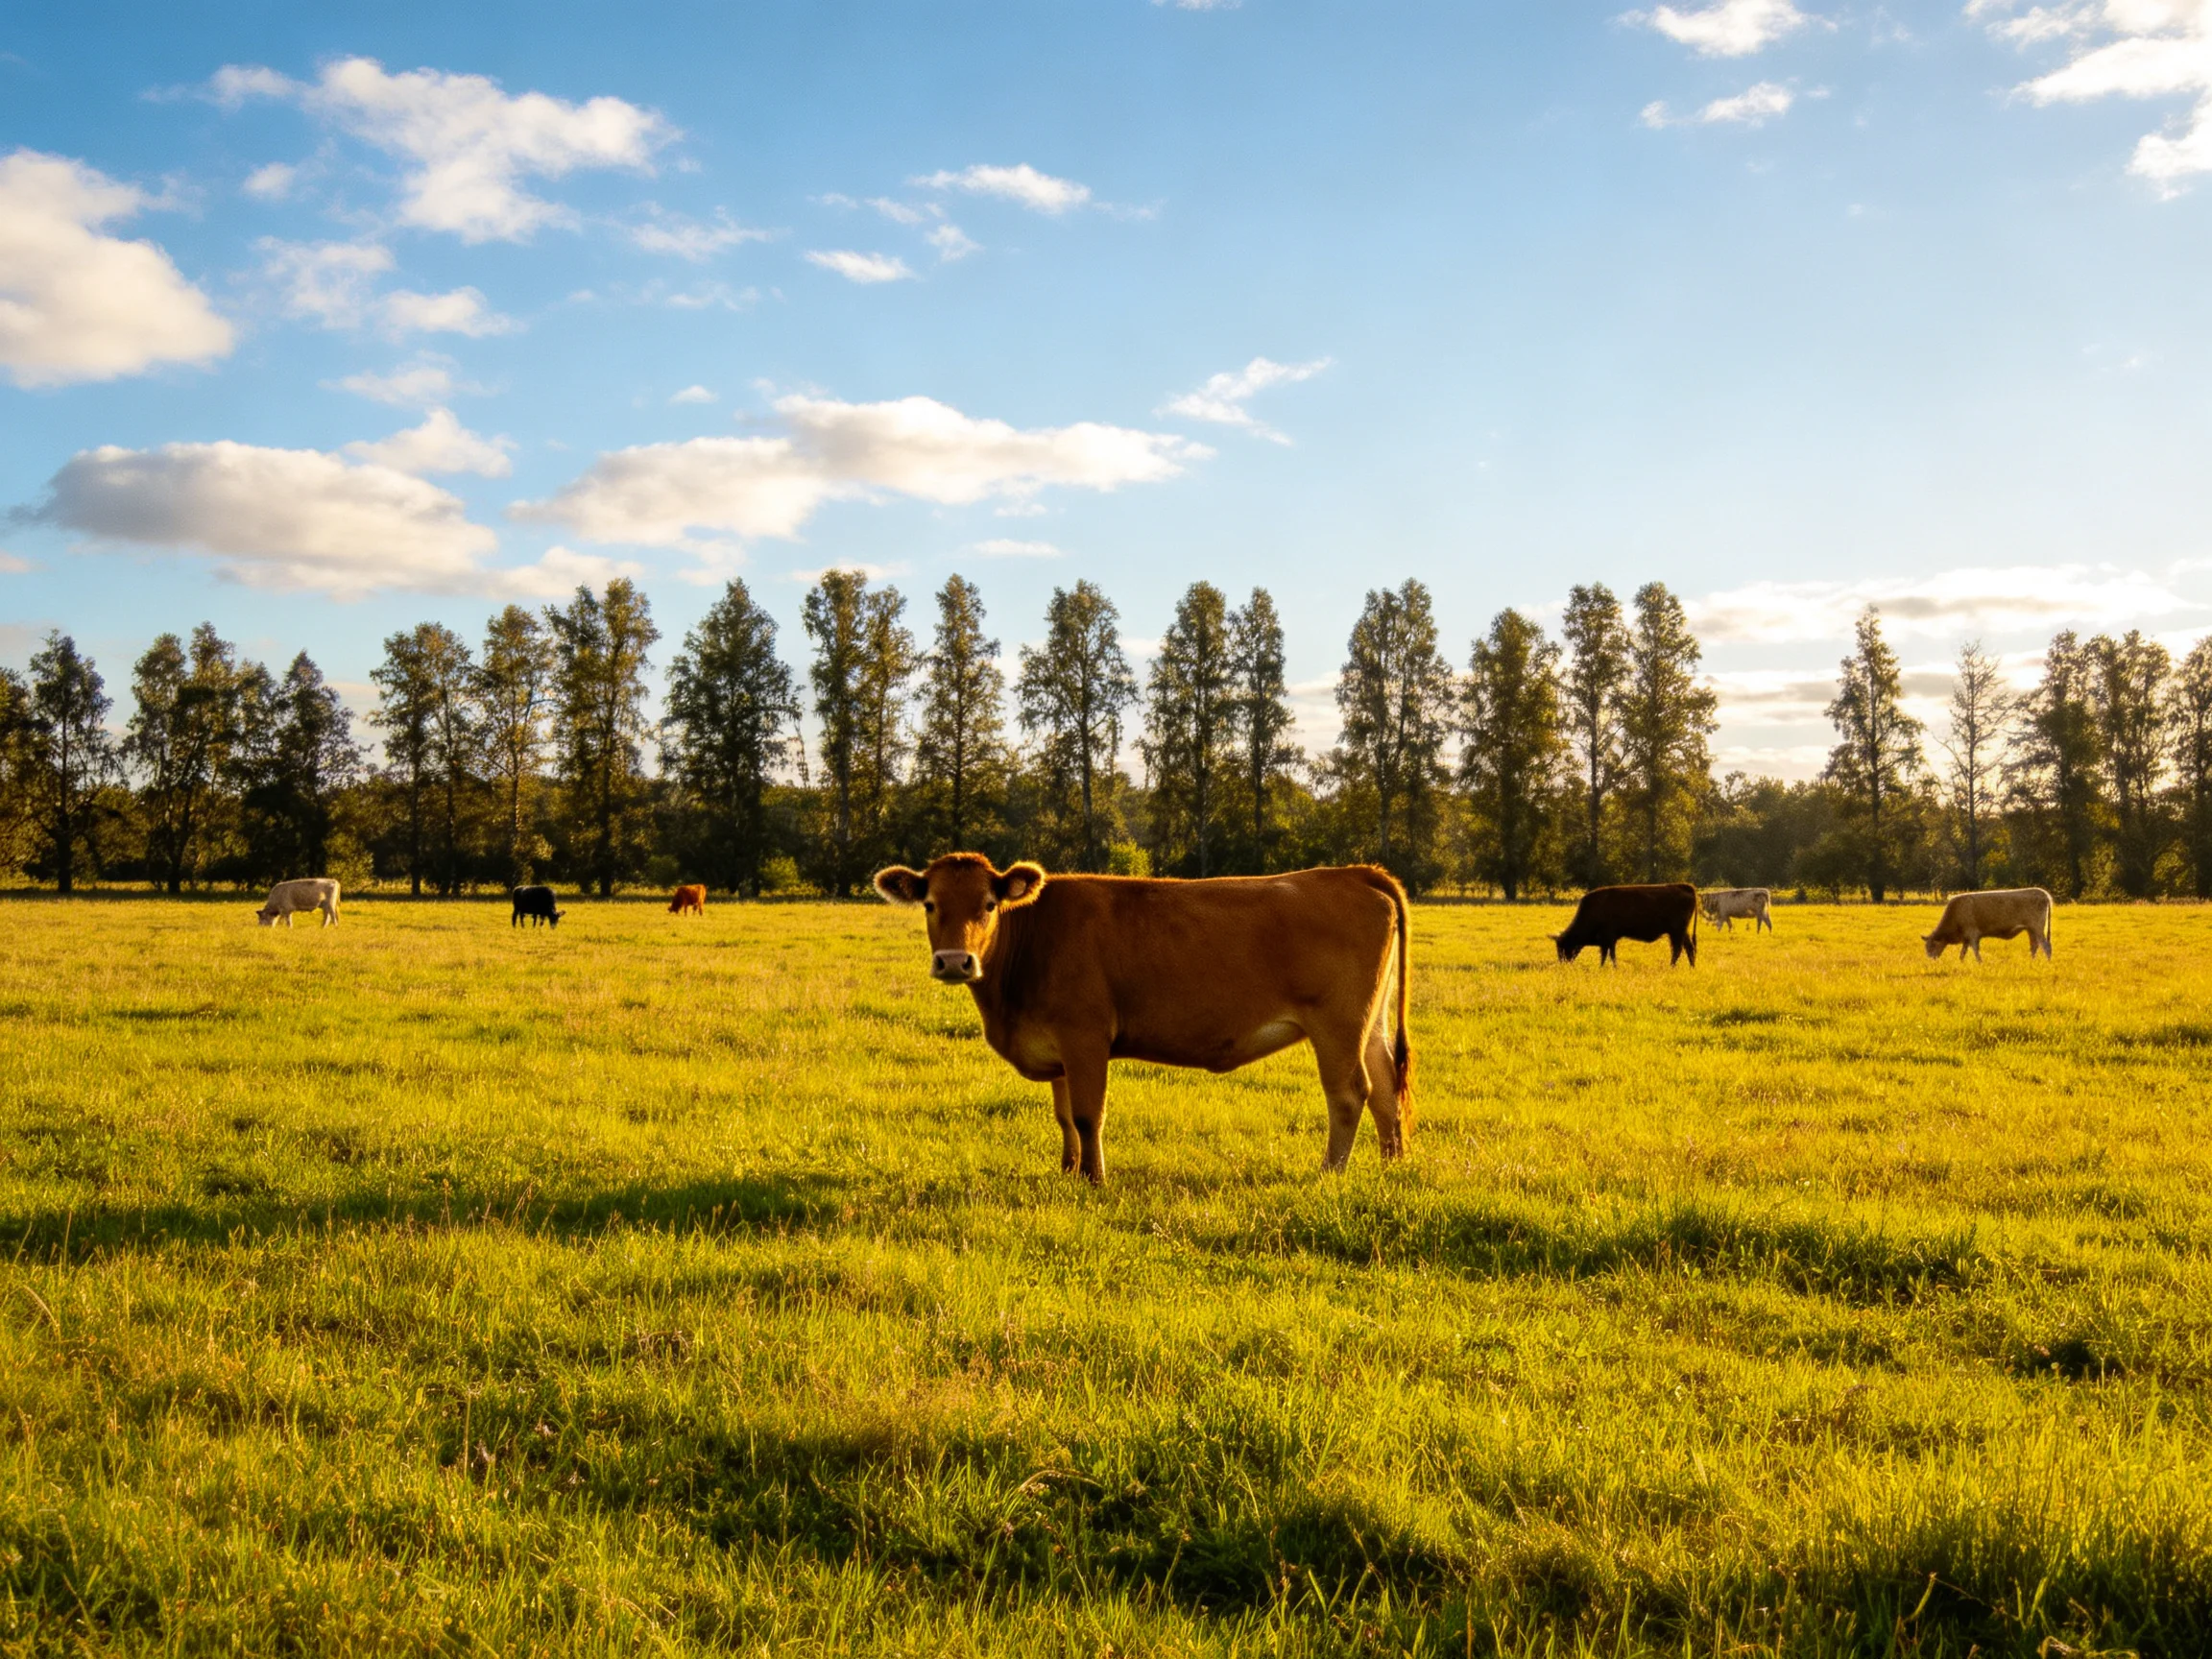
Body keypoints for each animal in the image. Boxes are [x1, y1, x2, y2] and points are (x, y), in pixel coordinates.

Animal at [874, 855, 1411, 1186]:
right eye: (930, 904)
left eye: (989, 905)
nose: (954, 962)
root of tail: (1351, 873)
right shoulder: (1058, 1047)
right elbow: (1064, 1115)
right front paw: (1068, 1172)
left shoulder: (1084, 1035)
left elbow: (1088, 1114)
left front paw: (1094, 1180)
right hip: (1370, 1024)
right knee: (1386, 1088)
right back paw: (1392, 1167)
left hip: (1338, 1024)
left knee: (1349, 1093)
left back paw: (1330, 1173)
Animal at [1554, 883, 1699, 966]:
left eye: (1563, 947)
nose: (1563, 964)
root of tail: (1685, 886)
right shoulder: (1607, 940)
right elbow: (1606, 954)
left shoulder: (1609, 937)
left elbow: (1609, 954)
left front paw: (1610, 967)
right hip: (1682, 931)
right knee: (1689, 948)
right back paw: (1691, 967)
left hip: (1676, 931)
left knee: (1677, 950)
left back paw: (1671, 967)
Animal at [1924, 888, 2053, 961]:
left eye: (1932, 945)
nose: (1931, 959)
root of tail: (2044, 894)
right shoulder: (1966, 938)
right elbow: (1963, 952)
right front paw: (1961, 962)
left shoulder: (1973, 934)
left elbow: (1975, 950)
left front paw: (1980, 962)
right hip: (2031, 930)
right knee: (2034, 946)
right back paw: (2032, 961)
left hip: (2038, 928)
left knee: (2046, 947)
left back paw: (2047, 962)